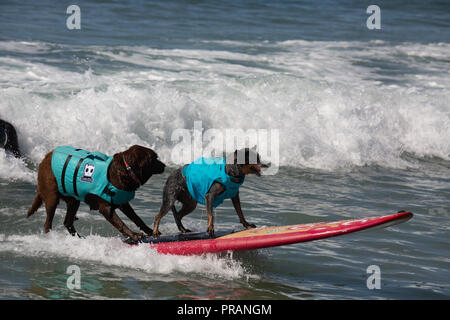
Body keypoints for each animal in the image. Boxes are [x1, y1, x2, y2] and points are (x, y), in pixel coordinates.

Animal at [27, 145, 165, 240]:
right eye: (154, 158)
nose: (164, 165)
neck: (126, 170)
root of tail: (45, 157)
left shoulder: (123, 203)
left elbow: (137, 218)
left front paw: (150, 230)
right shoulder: (106, 208)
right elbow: (121, 224)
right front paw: (134, 235)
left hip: (73, 200)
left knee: (68, 222)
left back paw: (79, 238)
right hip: (52, 197)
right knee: (48, 223)